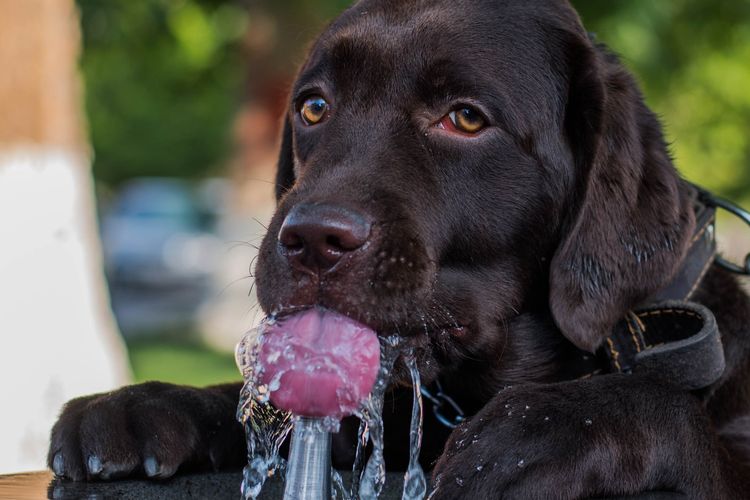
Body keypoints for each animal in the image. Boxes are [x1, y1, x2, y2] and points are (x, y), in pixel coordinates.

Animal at [47, 1, 750, 498]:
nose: (312, 239)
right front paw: (145, 404)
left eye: (466, 118)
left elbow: (667, 411)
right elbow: (261, 403)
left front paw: (539, 433)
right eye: (314, 107)